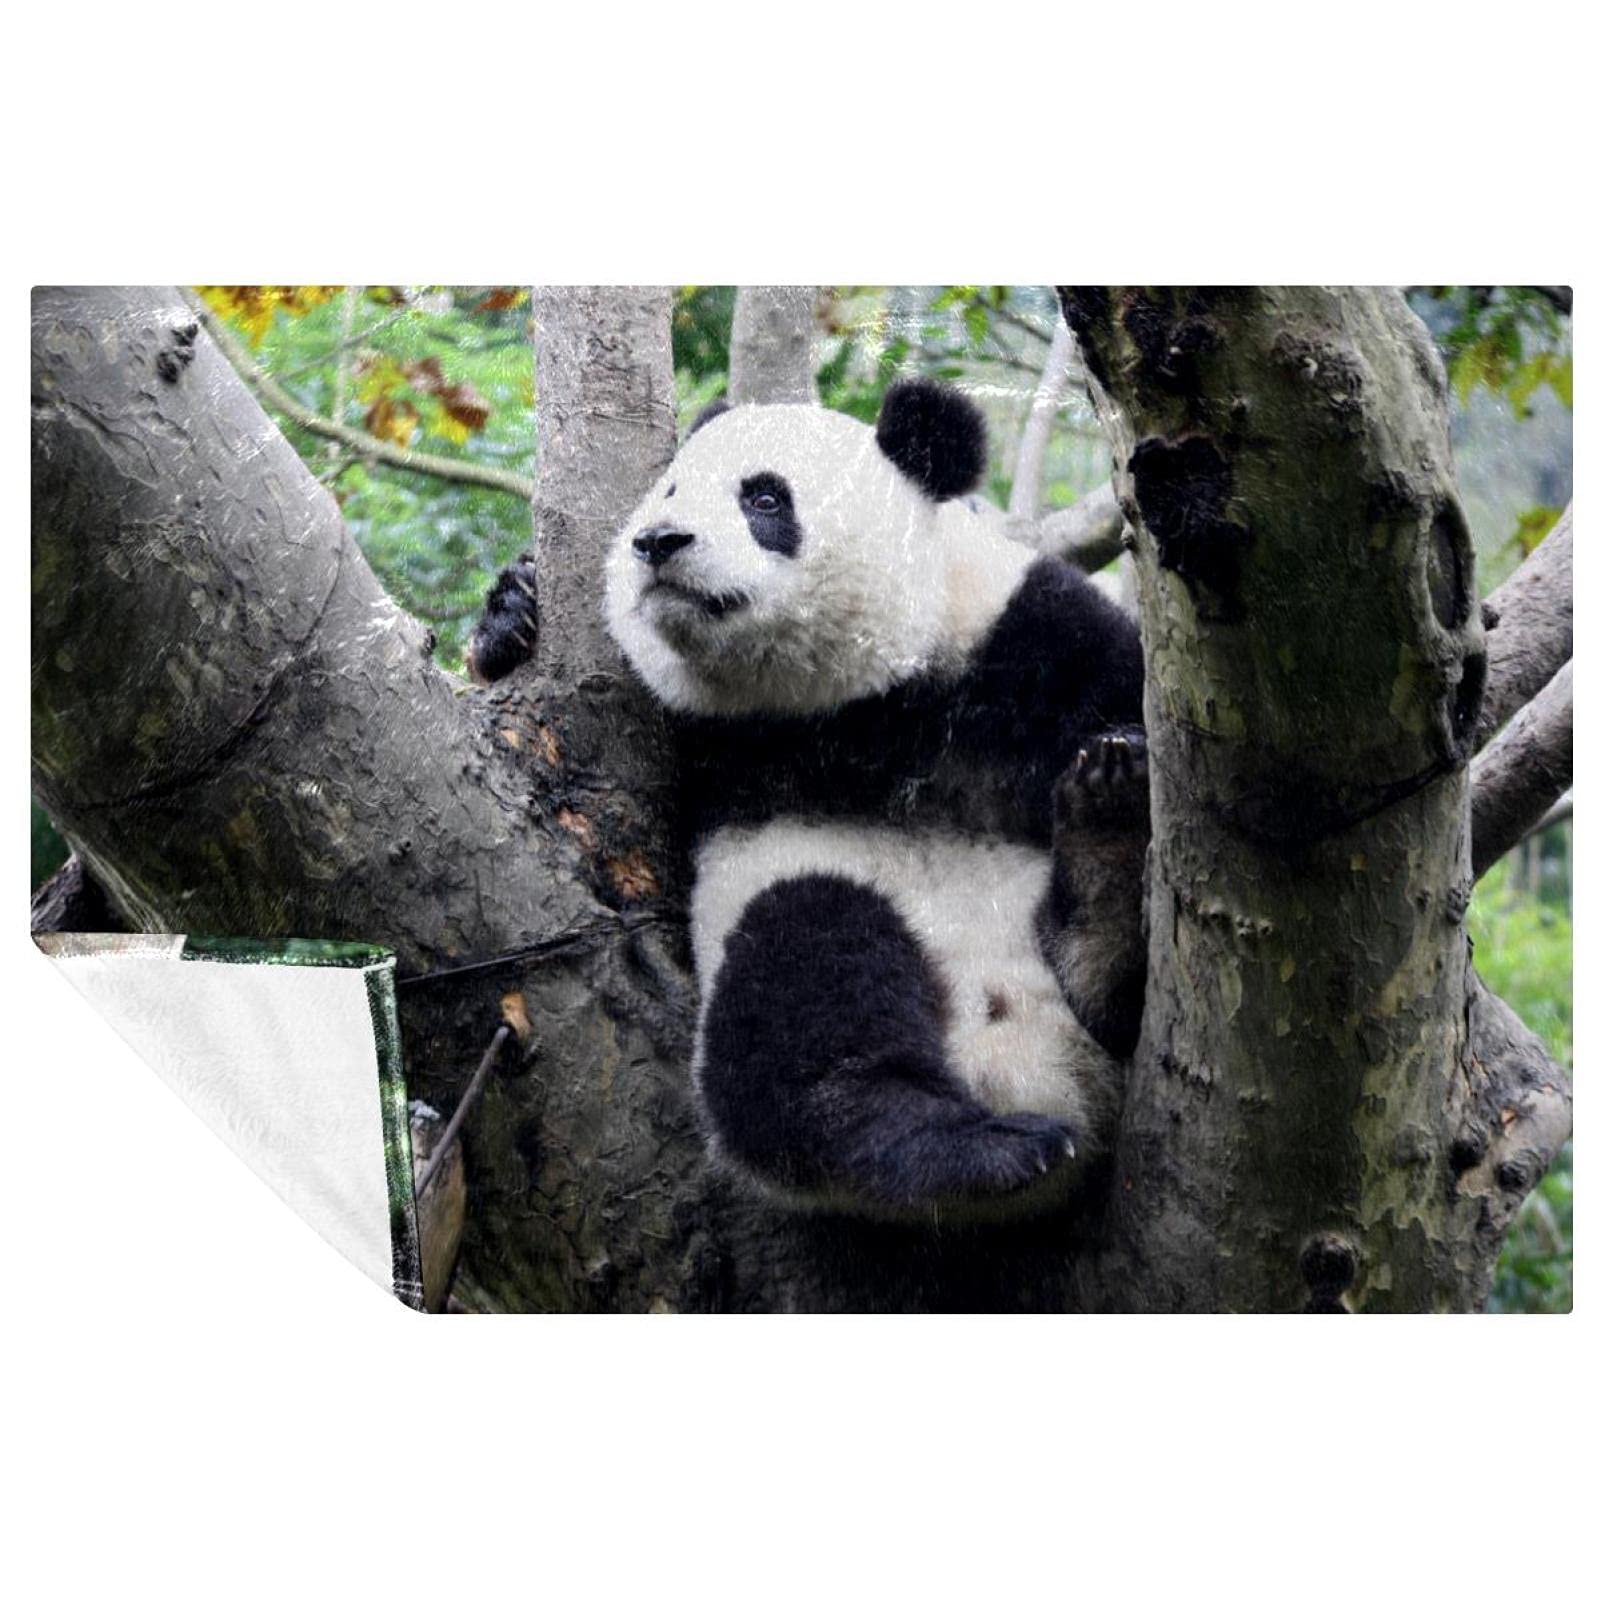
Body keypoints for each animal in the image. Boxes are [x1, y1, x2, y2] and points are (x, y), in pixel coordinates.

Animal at [471, 379, 1148, 1221]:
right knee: (796, 990)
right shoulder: (698, 738)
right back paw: (966, 1146)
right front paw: (511, 614)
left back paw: (1105, 868)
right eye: (669, 490)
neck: (857, 711)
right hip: (805, 892)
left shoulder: (1021, 634)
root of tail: (1036, 1083)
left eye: (763, 497)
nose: (657, 542)